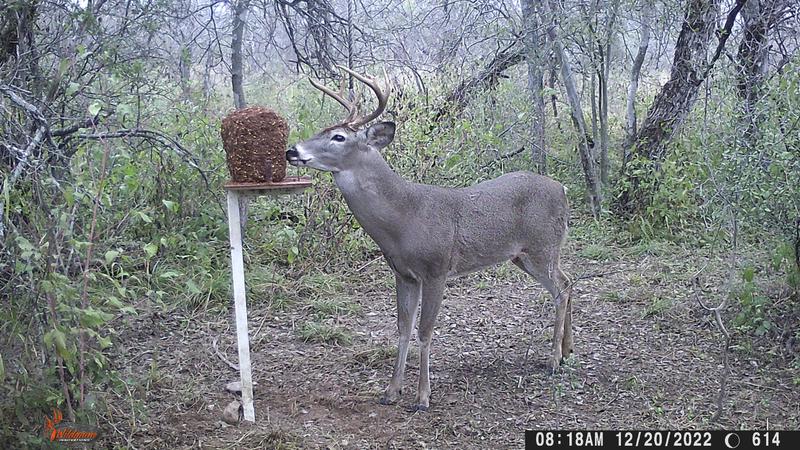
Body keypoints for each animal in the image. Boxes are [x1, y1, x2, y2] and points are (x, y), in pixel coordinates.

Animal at [286, 66, 573, 411]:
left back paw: (554, 360)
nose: (292, 151)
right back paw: (567, 351)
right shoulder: (403, 274)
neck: (404, 219)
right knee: (567, 282)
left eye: (338, 137)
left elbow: (425, 331)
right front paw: (391, 391)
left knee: (561, 288)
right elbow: (402, 328)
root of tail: (563, 189)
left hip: (543, 245)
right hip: (524, 254)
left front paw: (422, 397)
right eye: (322, 130)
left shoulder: (437, 268)